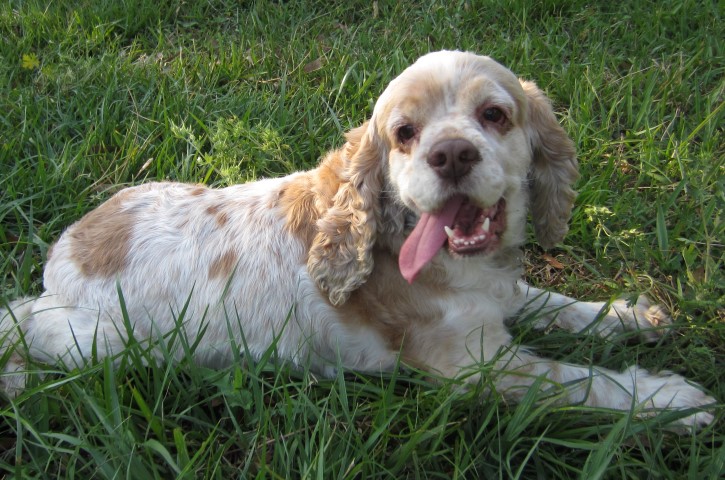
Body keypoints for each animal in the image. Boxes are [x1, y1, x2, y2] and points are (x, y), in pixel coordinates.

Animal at [0, 51, 714, 427]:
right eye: (404, 133)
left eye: (494, 115)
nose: (452, 154)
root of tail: (57, 263)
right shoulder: (474, 366)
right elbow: (578, 380)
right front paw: (669, 398)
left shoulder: (495, 300)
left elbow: (558, 305)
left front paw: (632, 316)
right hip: (103, 342)